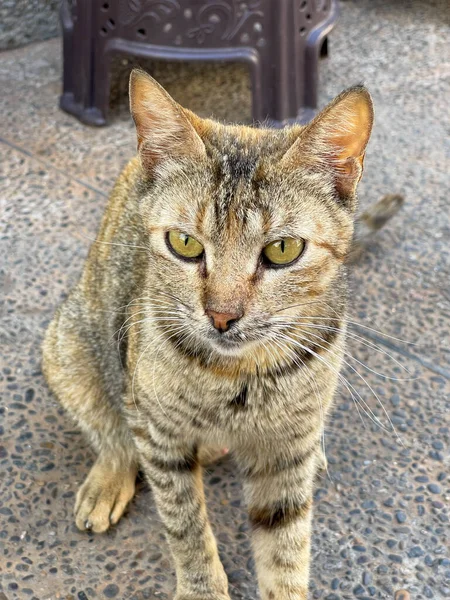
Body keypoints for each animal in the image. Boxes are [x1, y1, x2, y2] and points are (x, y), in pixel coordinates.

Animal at [41, 71, 400, 600]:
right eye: (185, 243)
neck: (239, 377)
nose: (222, 316)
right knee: (112, 431)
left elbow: (286, 547)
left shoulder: (283, 458)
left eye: (282, 249)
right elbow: (185, 525)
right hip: (71, 348)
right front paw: (201, 587)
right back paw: (109, 477)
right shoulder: (160, 433)